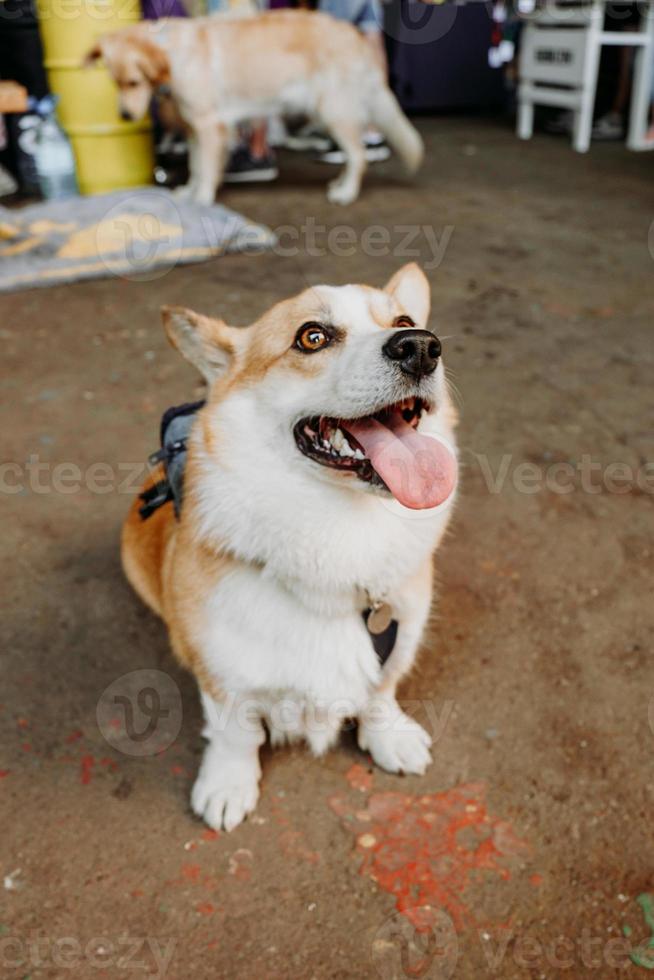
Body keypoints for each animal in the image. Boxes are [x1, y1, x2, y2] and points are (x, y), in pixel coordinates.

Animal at [84, 11, 426, 207]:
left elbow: (205, 168)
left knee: (358, 156)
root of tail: (356, 35)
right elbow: (196, 165)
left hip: (332, 110)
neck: (173, 53)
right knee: (354, 155)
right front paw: (189, 192)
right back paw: (340, 184)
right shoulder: (195, 128)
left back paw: (346, 193)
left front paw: (203, 199)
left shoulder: (210, 126)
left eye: (133, 82)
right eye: (116, 82)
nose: (124, 116)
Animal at [124, 264, 462, 832]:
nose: (421, 346)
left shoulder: (399, 631)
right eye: (312, 337)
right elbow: (235, 731)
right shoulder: (221, 670)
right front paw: (227, 786)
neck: (339, 532)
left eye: (403, 321)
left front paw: (388, 736)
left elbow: (381, 688)